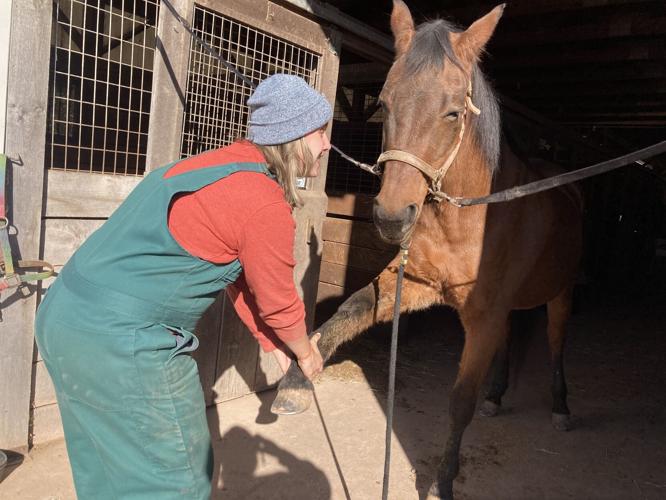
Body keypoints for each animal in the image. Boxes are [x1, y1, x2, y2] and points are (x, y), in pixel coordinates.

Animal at [272, 1, 583, 498]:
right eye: (383, 103)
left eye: (453, 113)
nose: (391, 217)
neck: (467, 218)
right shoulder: (414, 285)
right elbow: (351, 308)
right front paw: (297, 381)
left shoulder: (481, 317)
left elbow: (460, 401)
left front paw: (442, 481)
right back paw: (498, 395)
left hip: (561, 293)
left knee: (555, 343)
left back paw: (560, 407)